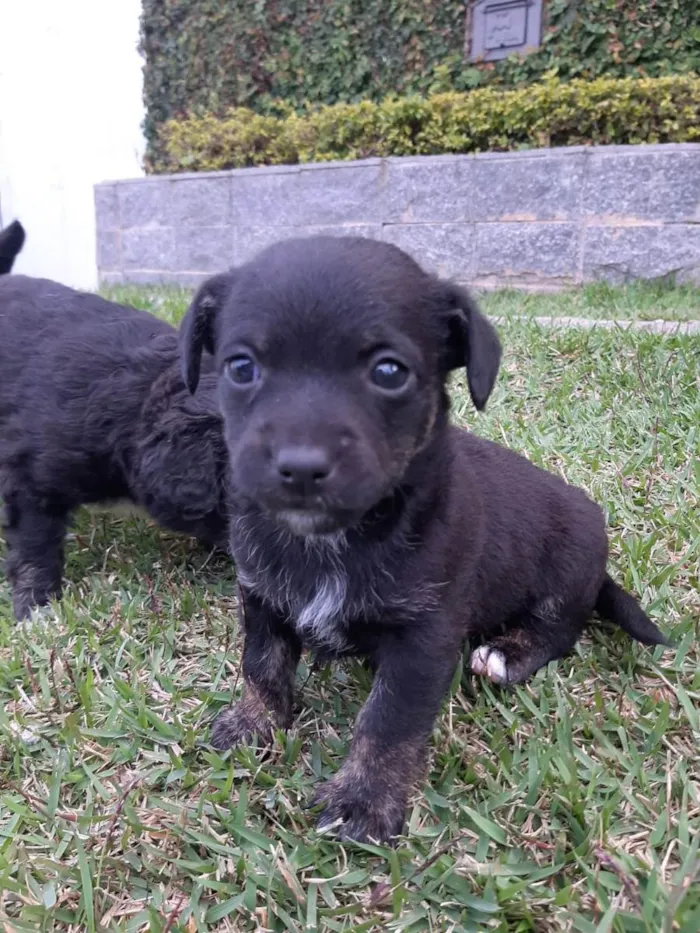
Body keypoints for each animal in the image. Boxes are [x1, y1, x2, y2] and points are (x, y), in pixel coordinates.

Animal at [180, 235, 668, 844]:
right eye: (241, 367)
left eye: (390, 371)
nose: (301, 467)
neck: (339, 537)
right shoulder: (262, 598)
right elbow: (262, 664)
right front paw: (253, 725)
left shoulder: (424, 638)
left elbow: (389, 720)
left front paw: (364, 801)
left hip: (569, 562)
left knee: (561, 630)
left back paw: (506, 654)